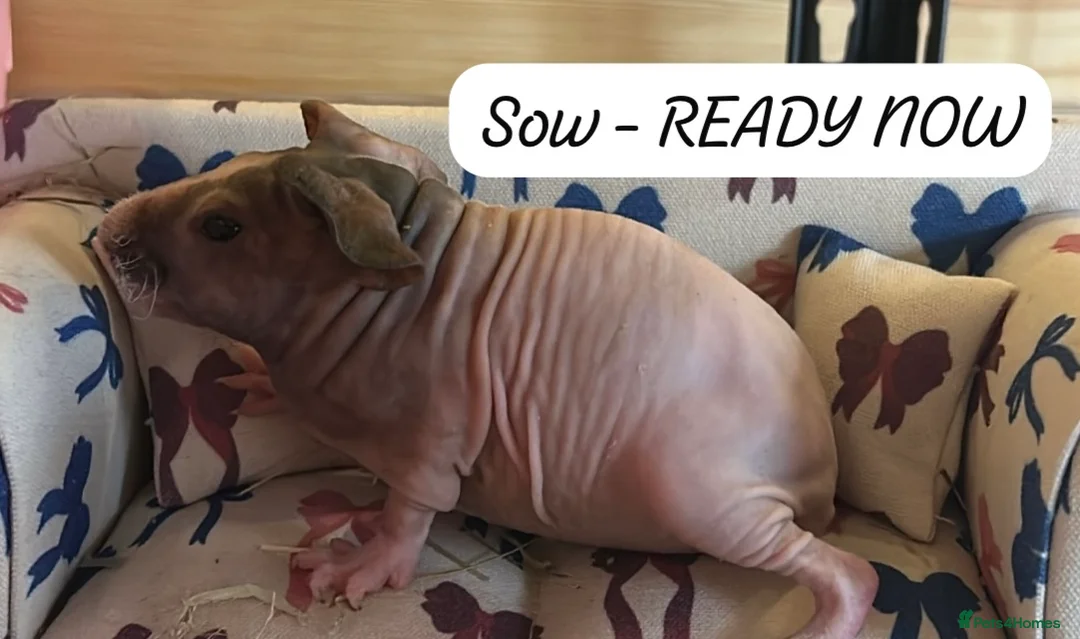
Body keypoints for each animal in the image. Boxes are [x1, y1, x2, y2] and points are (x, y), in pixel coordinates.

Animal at [92, 100, 878, 638]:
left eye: (220, 226)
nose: (103, 229)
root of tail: (825, 481)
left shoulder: (434, 432)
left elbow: (412, 509)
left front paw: (363, 562)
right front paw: (256, 379)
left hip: (697, 489)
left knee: (855, 573)